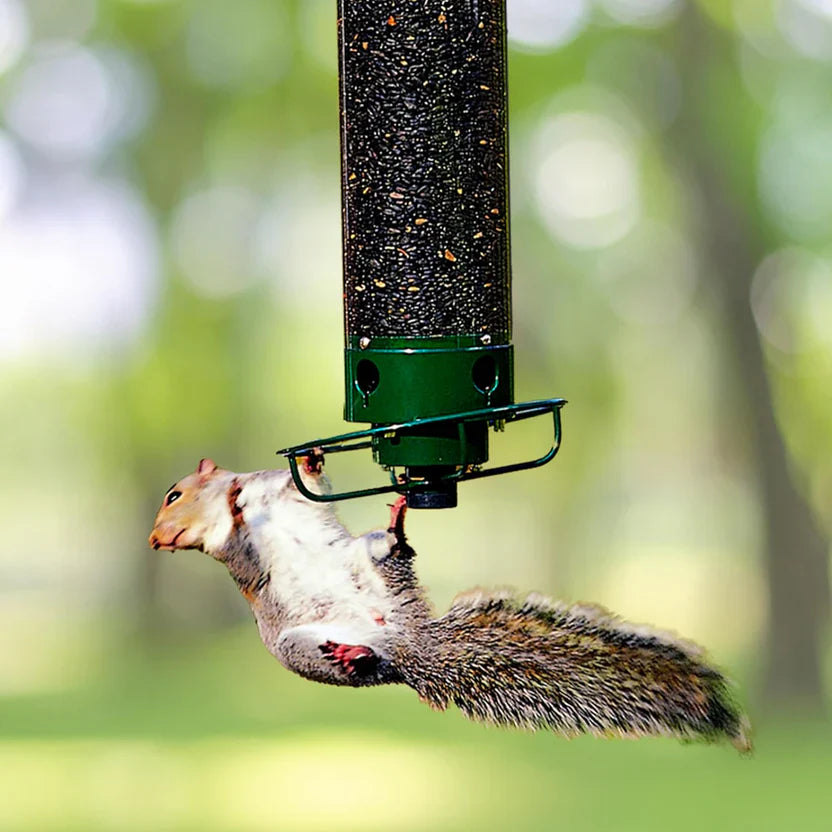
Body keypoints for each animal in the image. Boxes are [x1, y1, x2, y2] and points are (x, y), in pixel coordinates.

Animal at [149, 455, 751, 752]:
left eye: (173, 493)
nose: (158, 538)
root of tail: (407, 646)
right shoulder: (236, 552)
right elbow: (239, 540)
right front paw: (232, 506)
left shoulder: (285, 488)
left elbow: (304, 480)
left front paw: (277, 475)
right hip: (300, 648)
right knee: (364, 664)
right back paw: (351, 656)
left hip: (373, 564)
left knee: (393, 552)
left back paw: (396, 525)